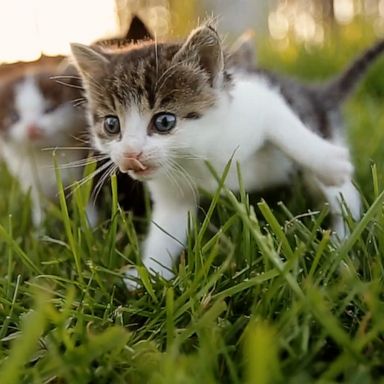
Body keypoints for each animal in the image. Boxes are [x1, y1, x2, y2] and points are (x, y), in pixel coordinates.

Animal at [72, 23, 364, 288]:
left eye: (164, 121)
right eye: (112, 124)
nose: (131, 154)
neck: (196, 153)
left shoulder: (258, 100)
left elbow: (284, 127)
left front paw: (328, 162)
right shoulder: (173, 192)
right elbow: (167, 228)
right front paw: (150, 273)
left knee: (345, 195)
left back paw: (340, 244)